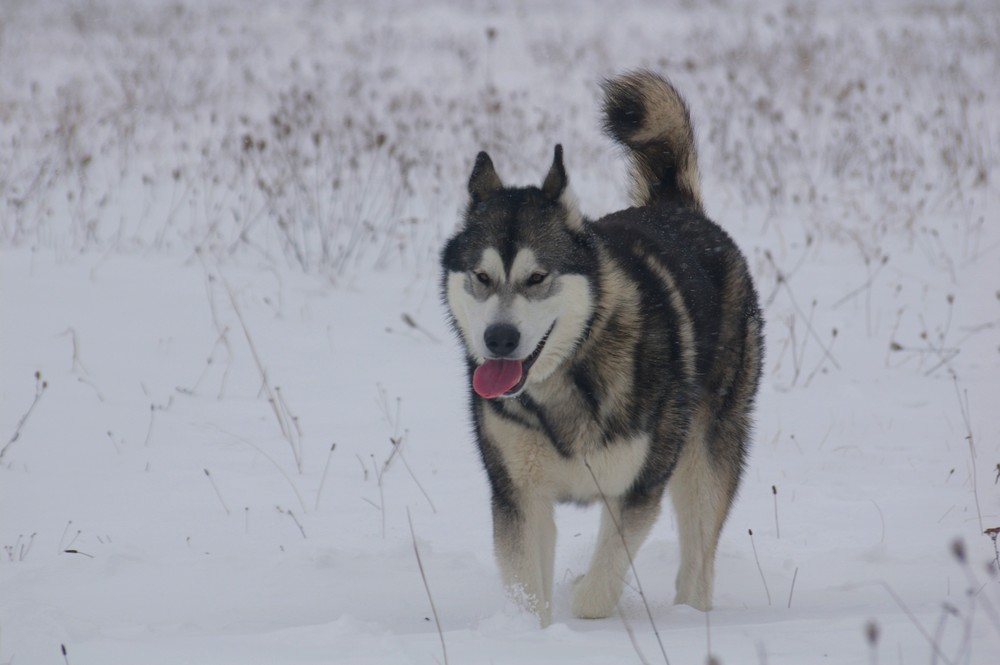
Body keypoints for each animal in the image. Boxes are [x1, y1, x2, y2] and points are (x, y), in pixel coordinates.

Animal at [442, 72, 760, 628]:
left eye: (537, 277)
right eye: (481, 277)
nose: (499, 339)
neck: (571, 375)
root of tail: (675, 208)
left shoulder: (637, 487)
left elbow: (601, 585)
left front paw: (583, 602)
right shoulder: (519, 493)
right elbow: (527, 586)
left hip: (708, 452)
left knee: (698, 558)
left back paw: (691, 613)